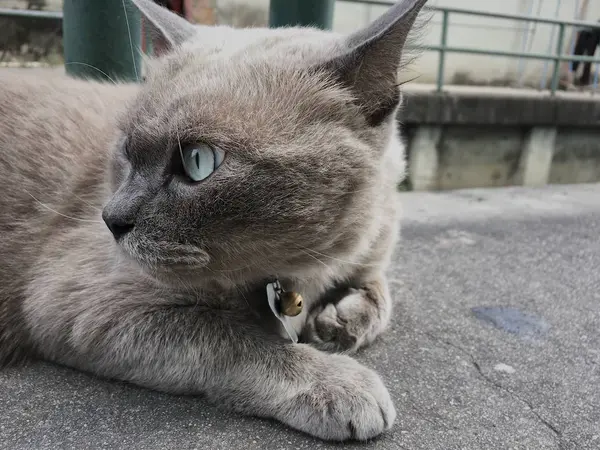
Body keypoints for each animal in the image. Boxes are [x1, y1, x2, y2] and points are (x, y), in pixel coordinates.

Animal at [0, 0, 426, 442]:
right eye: (126, 152)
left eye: (198, 162)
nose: (111, 219)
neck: (304, 270)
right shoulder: (78, 301)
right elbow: (235, 337)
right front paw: (342, 382)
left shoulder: (370, 251)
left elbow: (378, 291)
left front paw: (339, 322)